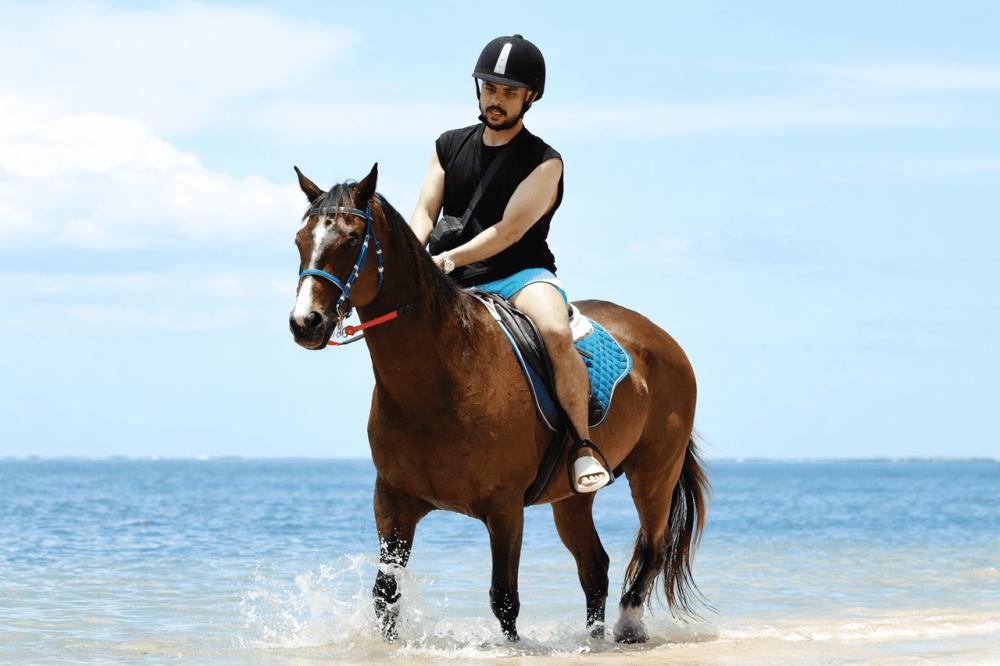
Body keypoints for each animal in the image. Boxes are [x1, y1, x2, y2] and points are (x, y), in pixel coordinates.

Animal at [288, 163, 709, 644]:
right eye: (300, 240)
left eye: (352, 239)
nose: (305, 323)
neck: (439, 380)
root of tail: (661, 338)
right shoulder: (393, 502)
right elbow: (385, 595)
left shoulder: (504, 509)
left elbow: (505, 599)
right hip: (571, 500)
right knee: (594, 568)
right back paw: (594, 639)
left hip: (654, 474)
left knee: (653, 548)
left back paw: (629, 626)